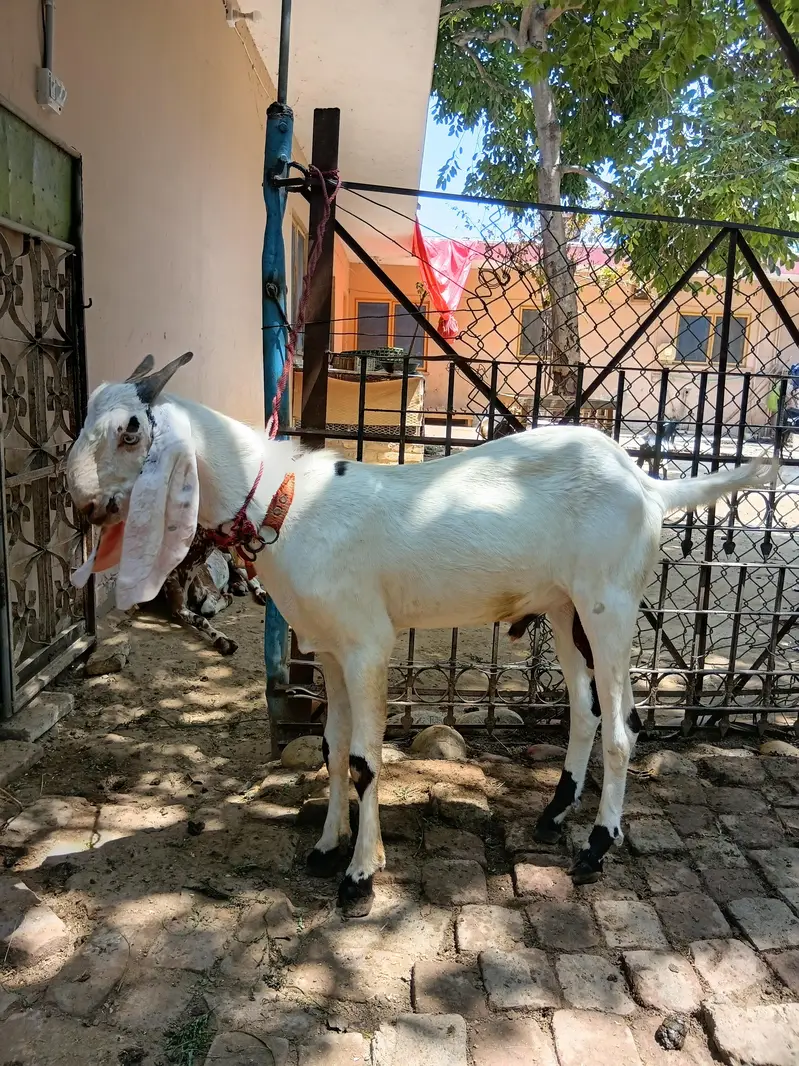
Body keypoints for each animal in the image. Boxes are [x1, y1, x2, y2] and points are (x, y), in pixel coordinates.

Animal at [66, 353, 777, 918]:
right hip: (563, 607)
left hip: (611, 603)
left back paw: (598, 846)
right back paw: (553, 816)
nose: (81, 505)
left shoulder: (367, 645)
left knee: (624, 725)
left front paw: (360, 876)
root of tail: (648, 485)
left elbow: (363, 758)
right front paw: (326, 847)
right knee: (584, 708)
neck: (288, 502)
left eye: (130, 429)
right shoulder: (329, 646)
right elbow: (330, 748)